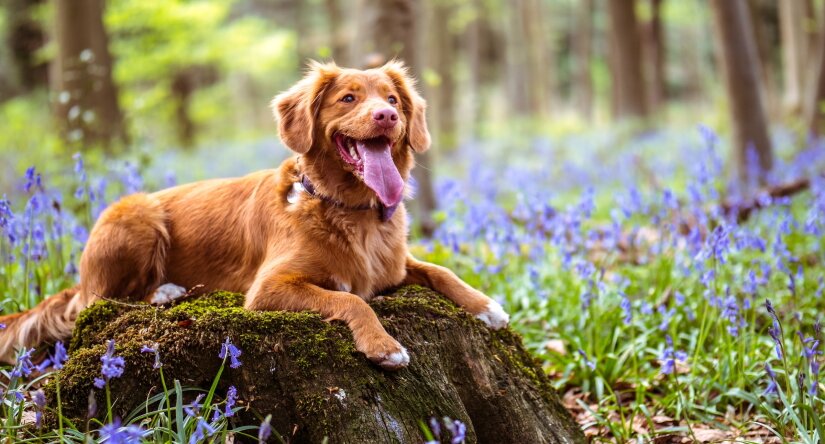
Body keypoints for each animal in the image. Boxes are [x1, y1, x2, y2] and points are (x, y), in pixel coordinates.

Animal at [0, 60, 508, 370]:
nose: (387, 116)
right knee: (101, 300)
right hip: (136, 213)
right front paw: (384, 346)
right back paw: (164, 291)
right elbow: (352, 300)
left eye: (394, 99)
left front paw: (486, 306)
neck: (350, 210)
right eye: (348, 98)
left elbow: (440, 270)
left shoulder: (395, 266)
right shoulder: (268, 289)